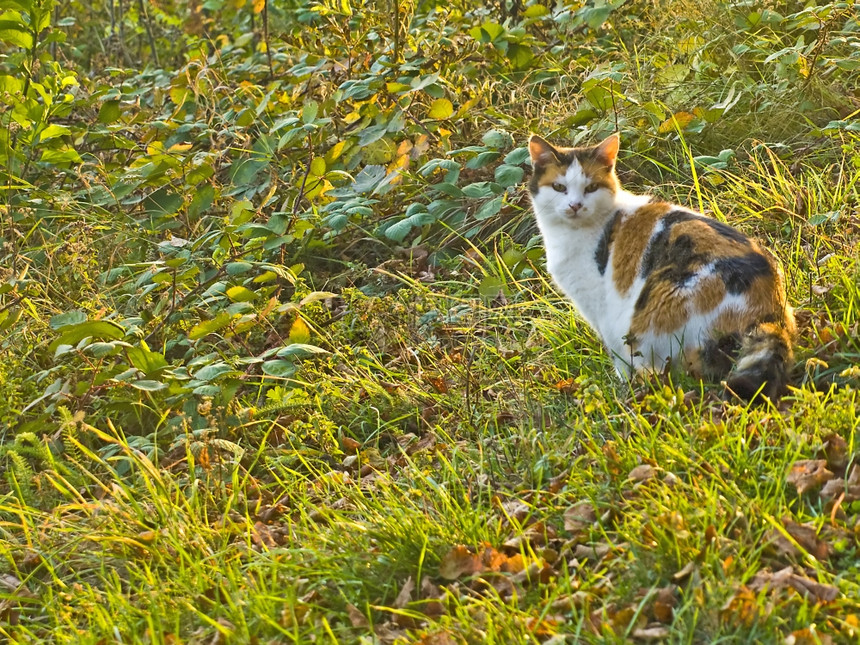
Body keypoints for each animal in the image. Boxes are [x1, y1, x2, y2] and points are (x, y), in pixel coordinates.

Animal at [528, 133, 796, 400]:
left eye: (591, 187)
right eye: (559, 187)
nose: (575, 205)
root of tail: (769, 307)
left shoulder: (600, 308)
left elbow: (616, 355)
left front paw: (622, 388)